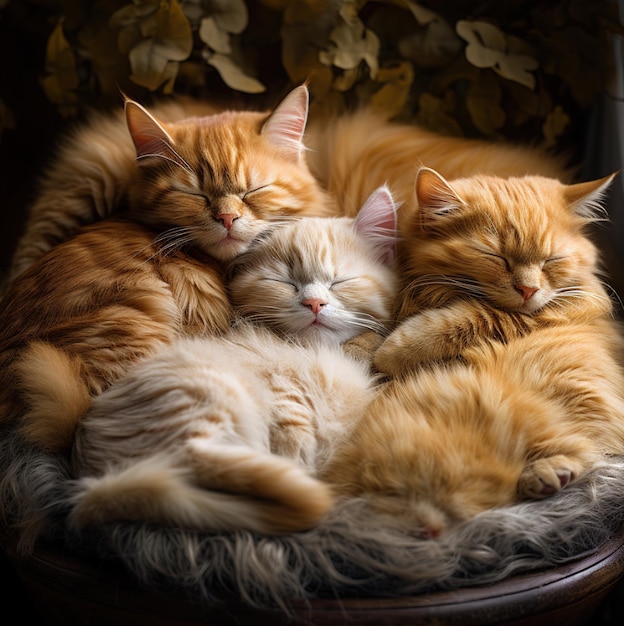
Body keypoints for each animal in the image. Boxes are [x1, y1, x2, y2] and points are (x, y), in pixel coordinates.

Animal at [69, 185, 400, 532]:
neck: (315, 349)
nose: (314, 304)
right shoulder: (271, 372)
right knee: (204, 457)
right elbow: (288, 403)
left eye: (340, 281)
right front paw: (297, 448)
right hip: (207, 391)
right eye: (286, 283)